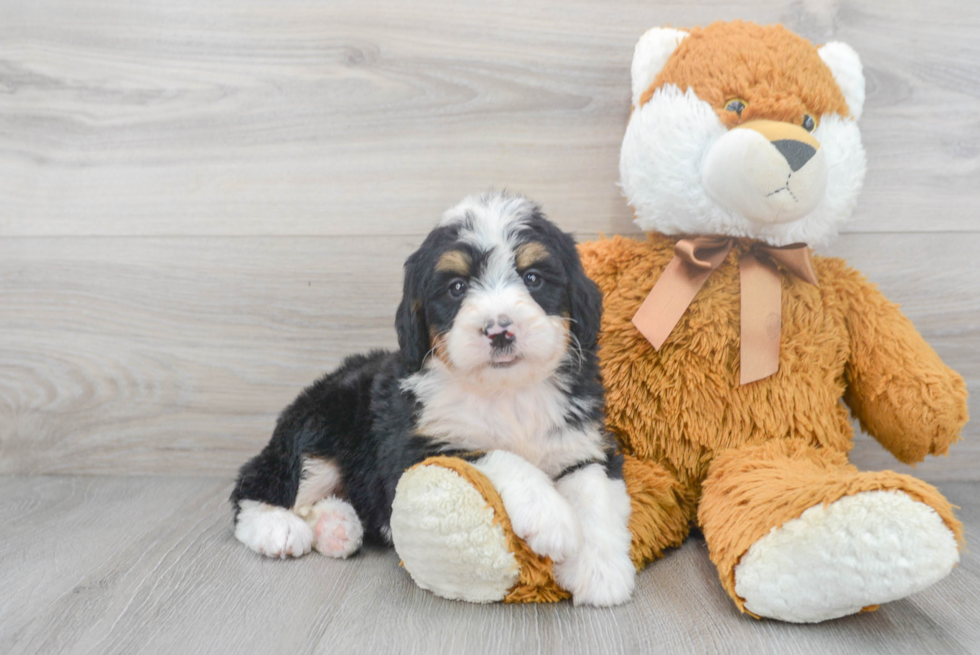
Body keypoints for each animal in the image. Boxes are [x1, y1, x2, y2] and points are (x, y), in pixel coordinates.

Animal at [234, 192, 640, 608]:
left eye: (533, 278)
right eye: (457, 287)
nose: (500, 330)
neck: (506, 392)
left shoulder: (582, 440)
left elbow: (594, 492)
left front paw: (601, 571)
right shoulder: (417, 448)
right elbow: (498, 456)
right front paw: (551, 517)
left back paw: (337, 527)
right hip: (323, 425)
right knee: (258, 483)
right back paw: (277, 529)